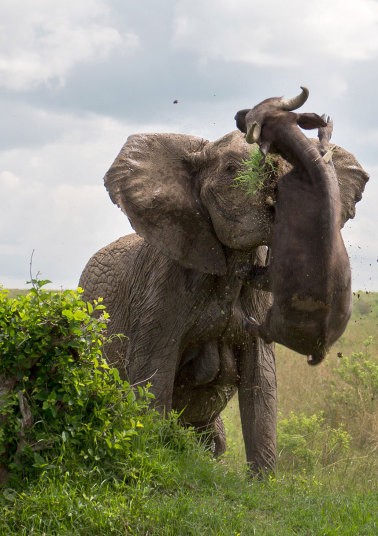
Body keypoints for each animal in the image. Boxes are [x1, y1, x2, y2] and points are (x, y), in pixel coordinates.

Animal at [235, 88, 352, 366]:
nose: (237, 115)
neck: (309, 168)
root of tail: (321, 347)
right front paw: (325, 129)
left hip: (273, 320)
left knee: (263, 330)